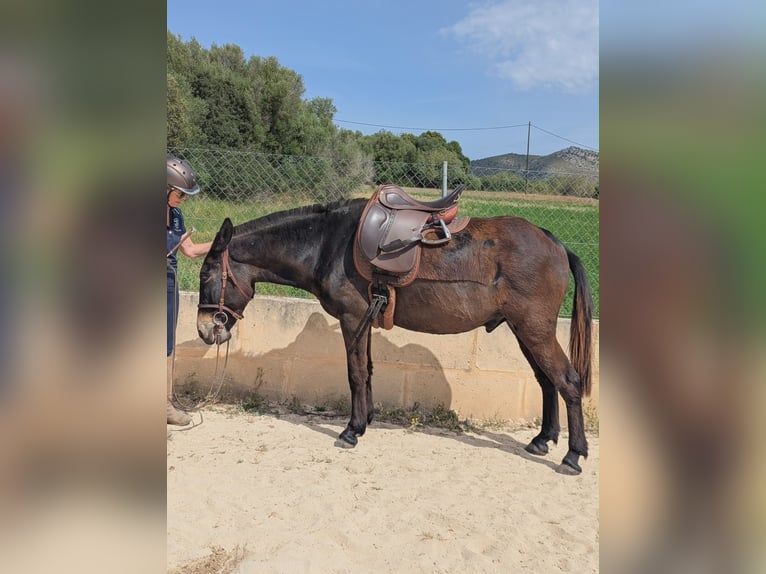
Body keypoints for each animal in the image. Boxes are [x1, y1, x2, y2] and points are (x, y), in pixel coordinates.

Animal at [196, 198, 594, 473]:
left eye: (204, 275)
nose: (203, 329)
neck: (326, 245)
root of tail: (556, 243)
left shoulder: (352, 318)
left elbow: (355, 373)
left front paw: (352, 430)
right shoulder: (365, 320)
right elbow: (368, 370)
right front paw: (366, 420)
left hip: (533, 329)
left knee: (568, 381)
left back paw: (573, 454)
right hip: (523, 329)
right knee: (546, 381)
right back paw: (542, 440)